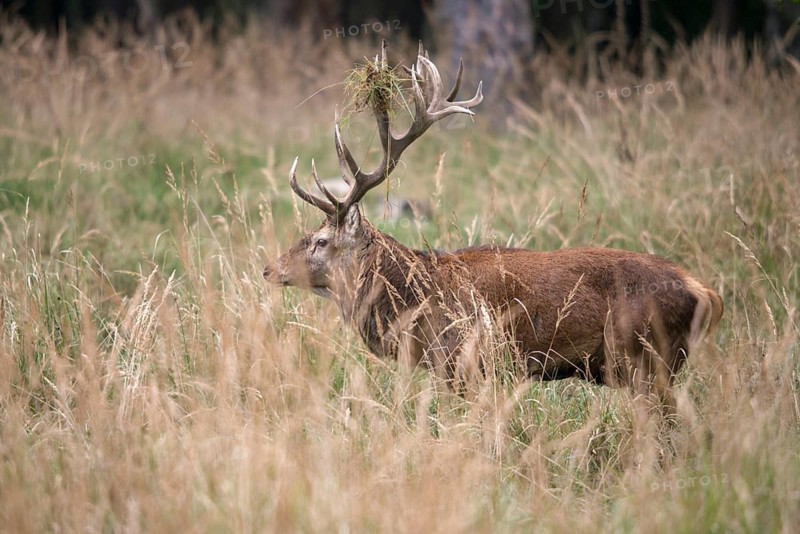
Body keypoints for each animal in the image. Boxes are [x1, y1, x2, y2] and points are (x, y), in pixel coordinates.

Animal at [263, 42, 723, 405]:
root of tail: (706, 293)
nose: (270, 268)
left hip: (646, 357)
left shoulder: (467, 365)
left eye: (321, 240)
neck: (414, 301)